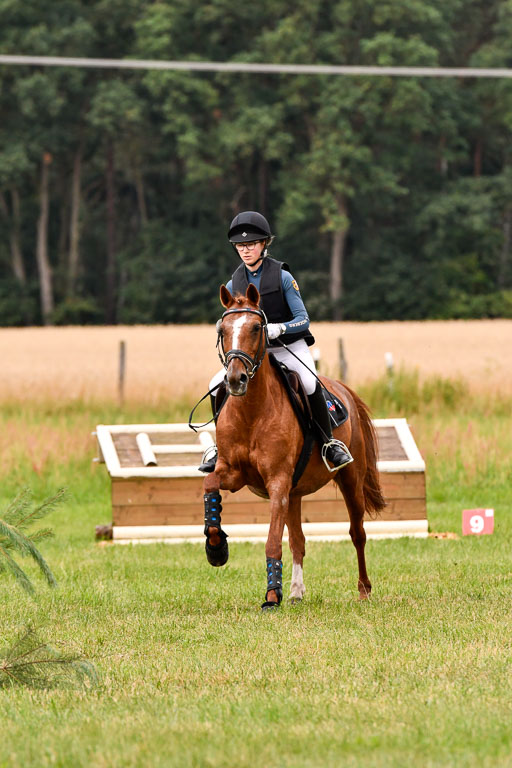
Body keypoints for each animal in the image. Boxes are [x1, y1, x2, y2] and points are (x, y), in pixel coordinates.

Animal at [202, 284, 386, 612]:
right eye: (223, 330)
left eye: (257, 327)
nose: (235, 379)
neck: (252, 410)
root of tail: (342, 389)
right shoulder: (233, 474)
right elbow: (210, 485)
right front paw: (217, 548)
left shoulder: (277, 482)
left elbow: (273, 540)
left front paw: (271, 595)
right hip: (295, 493)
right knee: (298, 540)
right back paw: (296, 592)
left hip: (350, 479)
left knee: (357, 533)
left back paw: (364, 590)